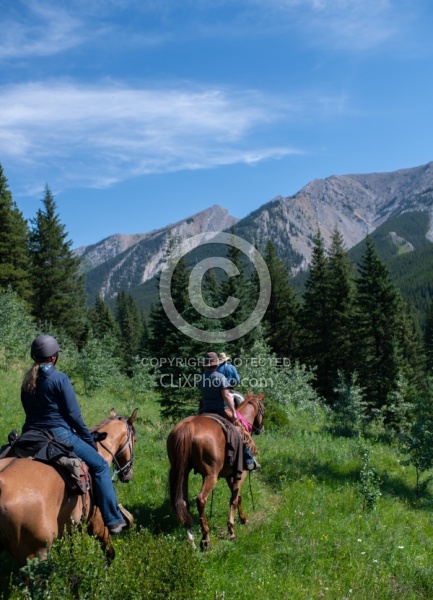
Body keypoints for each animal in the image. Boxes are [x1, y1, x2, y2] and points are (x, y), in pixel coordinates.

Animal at [0, 408, 137, 568]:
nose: (128, 474)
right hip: (36, 554)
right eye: (135, 440)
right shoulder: (97, 522)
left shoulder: (71, 528)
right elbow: (110, 552)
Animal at [167, 392, 264, 552]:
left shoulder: (230, 476)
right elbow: (234, 499)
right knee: (201, 499)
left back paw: (191, 538)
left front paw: (243, 519)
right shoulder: (240, 474)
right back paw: (205, 538)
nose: (260, 429)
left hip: (182, 471)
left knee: (182, 501)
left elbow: (238, 497)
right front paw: (231, 530)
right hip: (210, 475)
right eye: (263, 409)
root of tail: (188, 427)